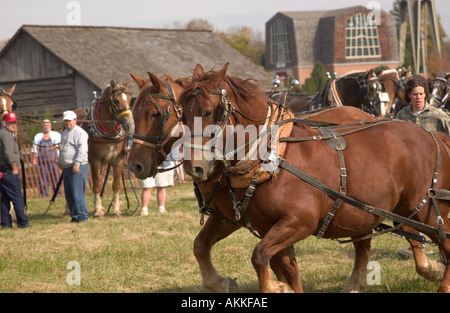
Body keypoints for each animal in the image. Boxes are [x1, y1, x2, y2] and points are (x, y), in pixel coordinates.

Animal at [75, 80, 134, 216]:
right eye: (116, 101)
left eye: (129, 99)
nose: (130, 124)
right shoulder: (95, 161)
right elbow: (97, 185)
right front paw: (97, 211)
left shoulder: (118, 161)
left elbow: (116, 185)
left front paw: (116, 210)